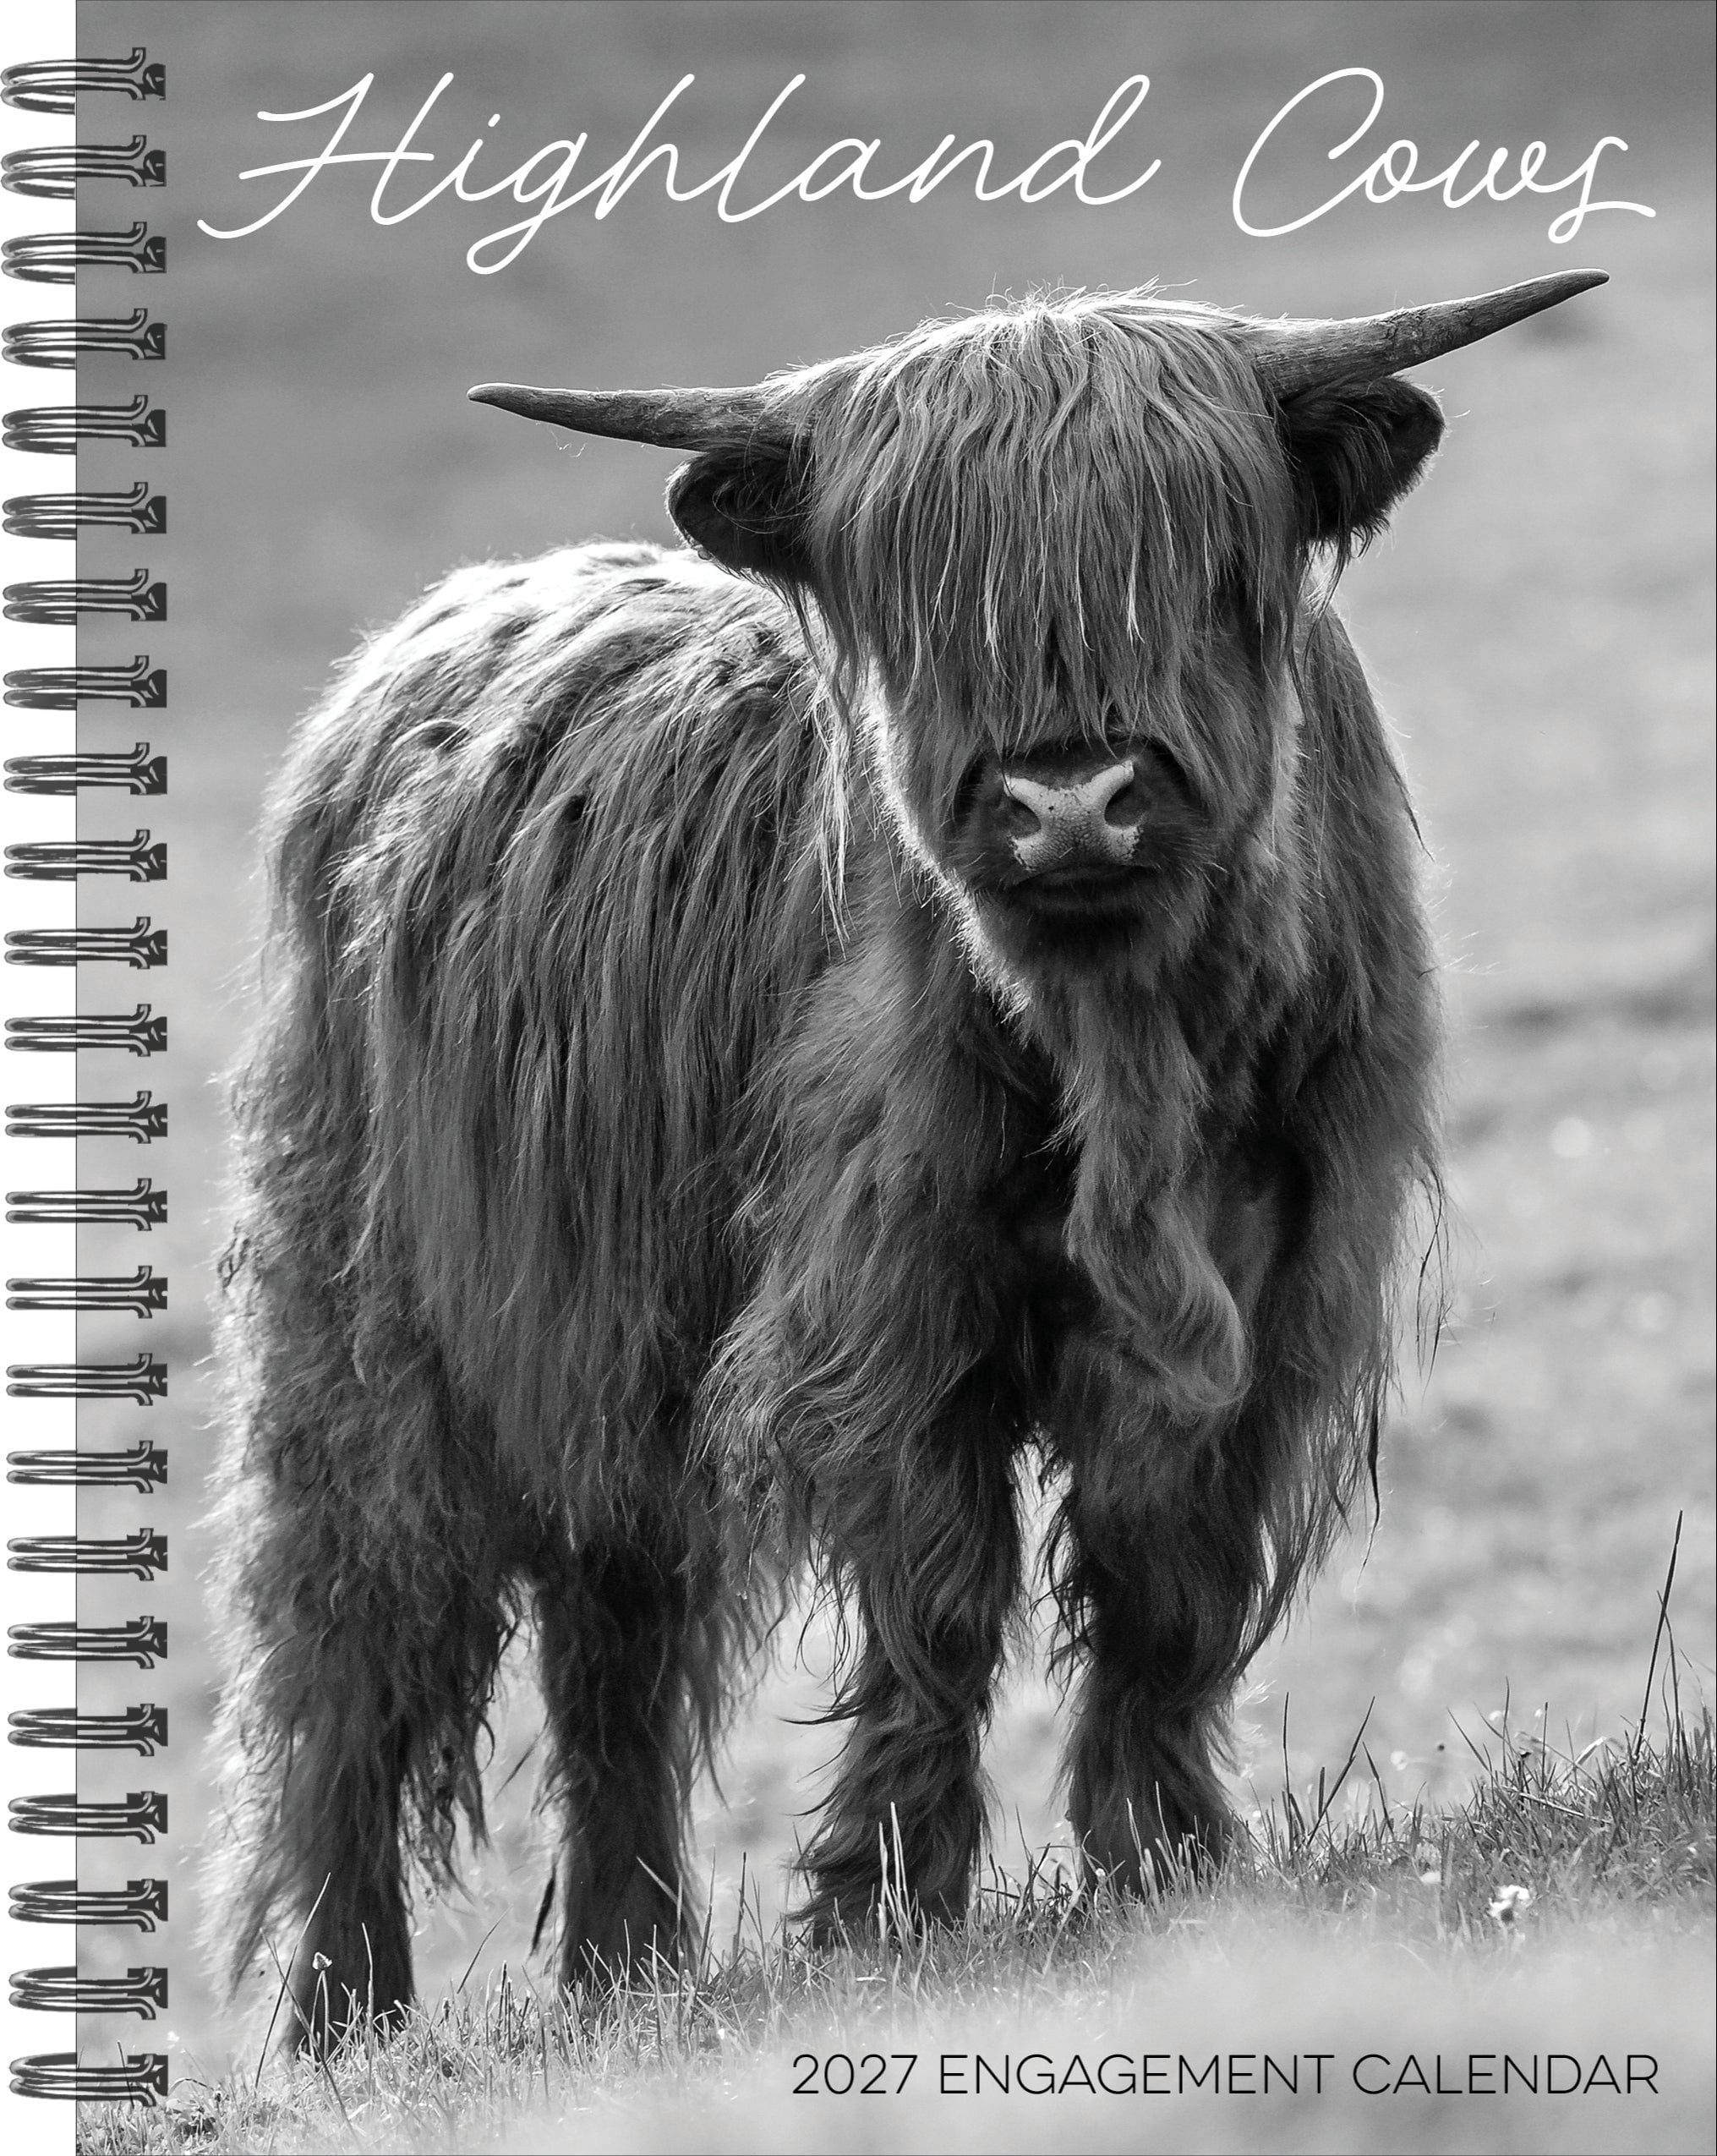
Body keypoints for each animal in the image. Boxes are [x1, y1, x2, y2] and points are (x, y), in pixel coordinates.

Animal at [206, 271, 1605, 2050]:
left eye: (1203, 559)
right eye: (922, 592)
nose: (1070, 801)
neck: (1125, 1056)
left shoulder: (1276, 1283)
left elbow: (1166, 1573)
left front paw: (1164, 1862)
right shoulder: (887, 1292)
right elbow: (939, 1589)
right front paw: (887, 1909)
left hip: (603, 1359)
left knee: (613, 1638)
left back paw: (626, 1965)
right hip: (366, 1326)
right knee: (352, 1643)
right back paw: (345, 2018)